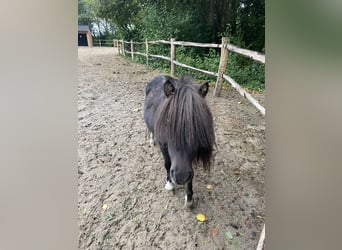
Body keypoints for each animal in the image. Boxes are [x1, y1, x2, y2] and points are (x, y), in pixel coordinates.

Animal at [143, 75, 215, 208]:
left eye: (198, 125)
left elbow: (191, 173)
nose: (181, 177)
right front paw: (170, 184)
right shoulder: (163, 146)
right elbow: (167, 164)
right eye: (167, 123)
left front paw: (189, 197)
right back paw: (151, 140)